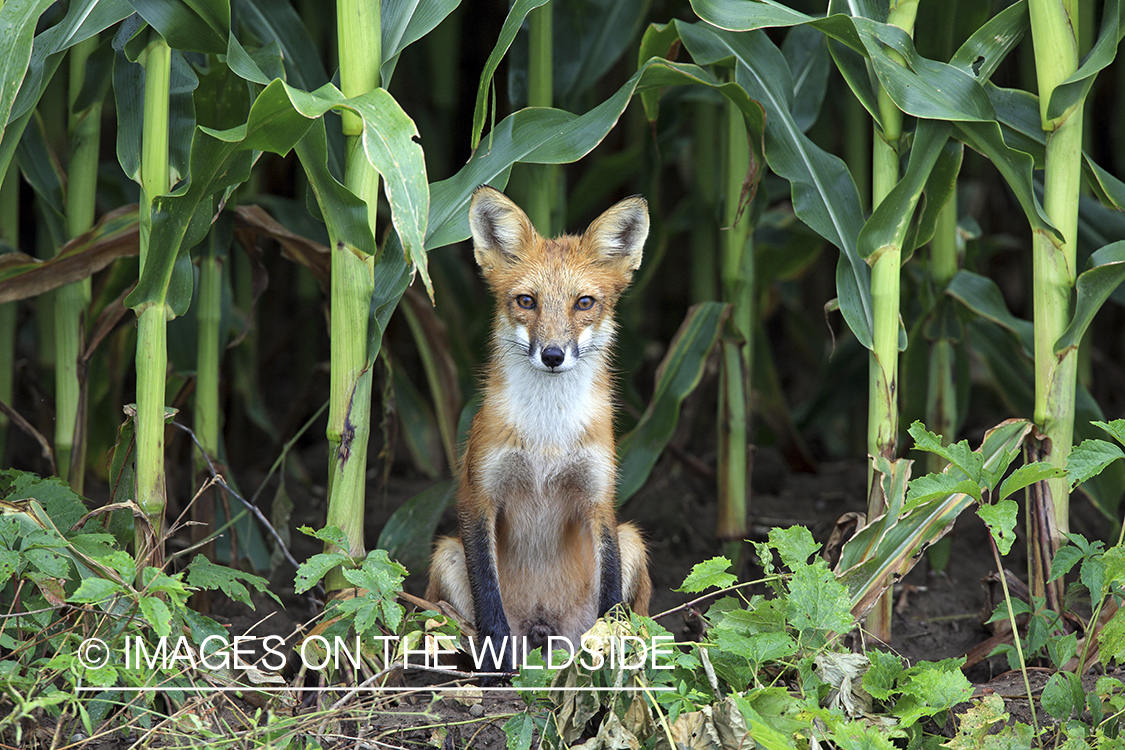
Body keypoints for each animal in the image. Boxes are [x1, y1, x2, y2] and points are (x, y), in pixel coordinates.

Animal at [425, 185, 652, 672]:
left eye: (584, 303)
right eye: (526, 301)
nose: (552, 355)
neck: (548, 439)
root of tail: (542, 628)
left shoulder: (600, 500)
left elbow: (610, 601)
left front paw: (611, 665)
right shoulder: (478, 494)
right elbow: (488, 595)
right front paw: (497, 669)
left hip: (632, 542)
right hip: (446, 557)